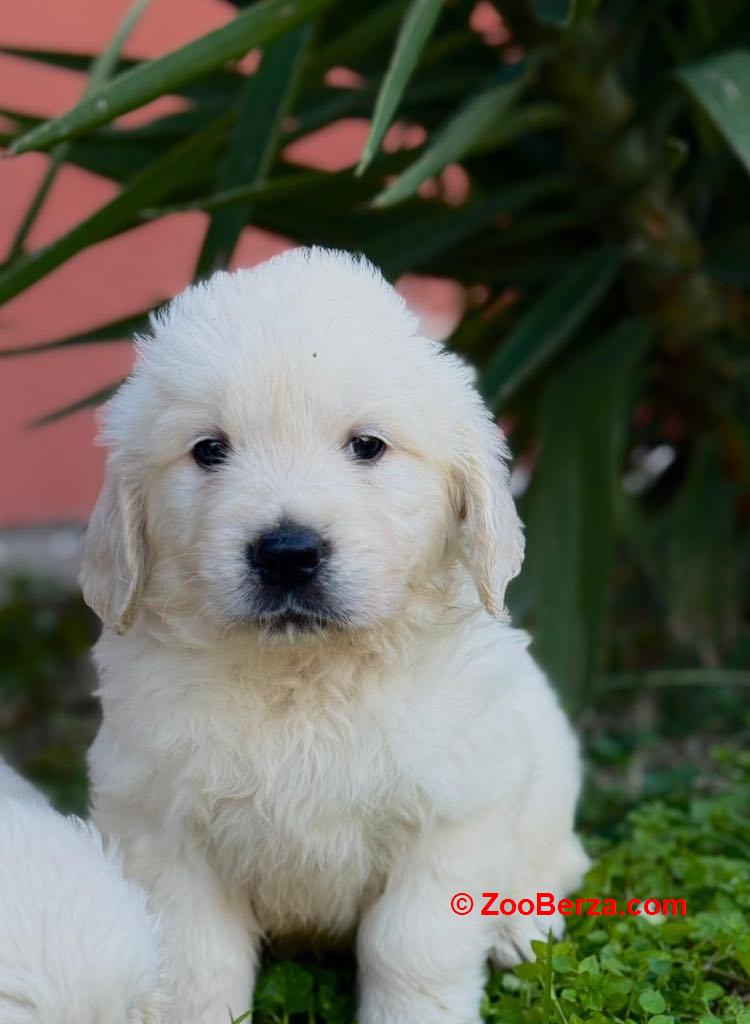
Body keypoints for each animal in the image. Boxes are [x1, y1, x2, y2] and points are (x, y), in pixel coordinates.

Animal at [80, 247, 586, 1024]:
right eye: (208, 450)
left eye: (368, 446)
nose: (288, 553)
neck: (304, 675)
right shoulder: (162, 829)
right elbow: (197, 964)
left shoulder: (451, 819)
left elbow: (412, 950)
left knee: (558, 861)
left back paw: (518, 930)